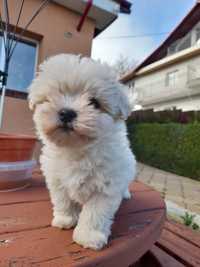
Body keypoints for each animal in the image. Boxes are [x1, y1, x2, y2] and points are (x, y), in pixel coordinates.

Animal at [28, 54, 136, 251]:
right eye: (55, 94)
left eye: (94, 102)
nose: (66, 113)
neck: (76, 150)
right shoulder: (57, 180)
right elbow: (63, 200)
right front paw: (65, 219)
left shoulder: (105, 187)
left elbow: (95, 213)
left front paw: (88, 236)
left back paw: (125, 194)